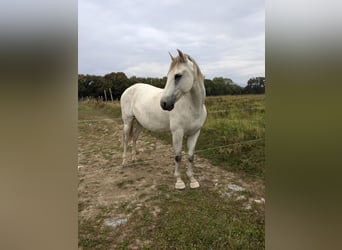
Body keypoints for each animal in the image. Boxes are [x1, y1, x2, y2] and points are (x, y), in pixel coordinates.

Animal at [120, 49, 206, 189]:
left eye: (177, 75)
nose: (164, 104)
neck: (193, 107)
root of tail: (128, 89)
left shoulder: (195, 133)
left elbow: (190, 156)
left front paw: (192, 180)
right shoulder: (177, 133)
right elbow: (178, 156)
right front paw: (179, 182)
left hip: (140, 123)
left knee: (135, 138)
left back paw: (134, 159)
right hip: (127, 122)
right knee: (126, 140)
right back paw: (124, 162)